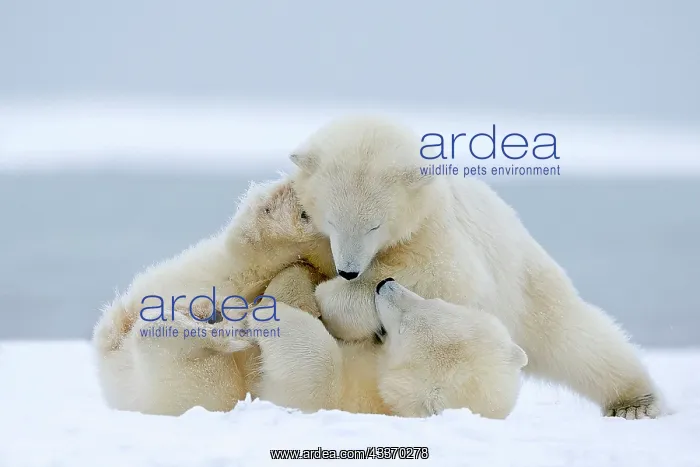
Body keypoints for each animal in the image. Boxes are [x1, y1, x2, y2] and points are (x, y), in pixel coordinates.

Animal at [238, 271, 528, 419]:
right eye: (435, 302)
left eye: (403, 327)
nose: (384, 283)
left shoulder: (348, 399)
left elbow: (316, 380)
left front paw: (266, 311)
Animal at [287, 115, 665, 419]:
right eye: (331, 220)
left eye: (374, 226)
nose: (348, 270)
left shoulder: (436, 230)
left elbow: (445, 277)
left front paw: (331, 299)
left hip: (526, 286)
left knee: (576, 339)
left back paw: (635, 403)